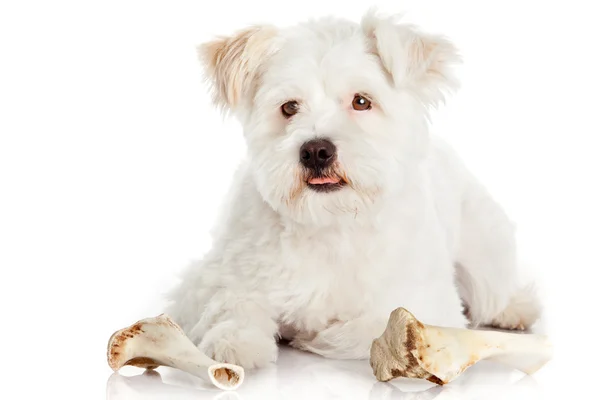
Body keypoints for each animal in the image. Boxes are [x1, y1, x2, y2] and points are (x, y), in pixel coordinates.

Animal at [165, 10, 544, 368]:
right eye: (289, 107)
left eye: (361, 101)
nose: (316, 151)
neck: (330, 223)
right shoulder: (211, 278)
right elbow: (230, 302)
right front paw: (235, 341)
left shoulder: (423, 304)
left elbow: (367, 328)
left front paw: (310, 335)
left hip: (485, 247)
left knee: (494, 289)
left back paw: (515, 309)